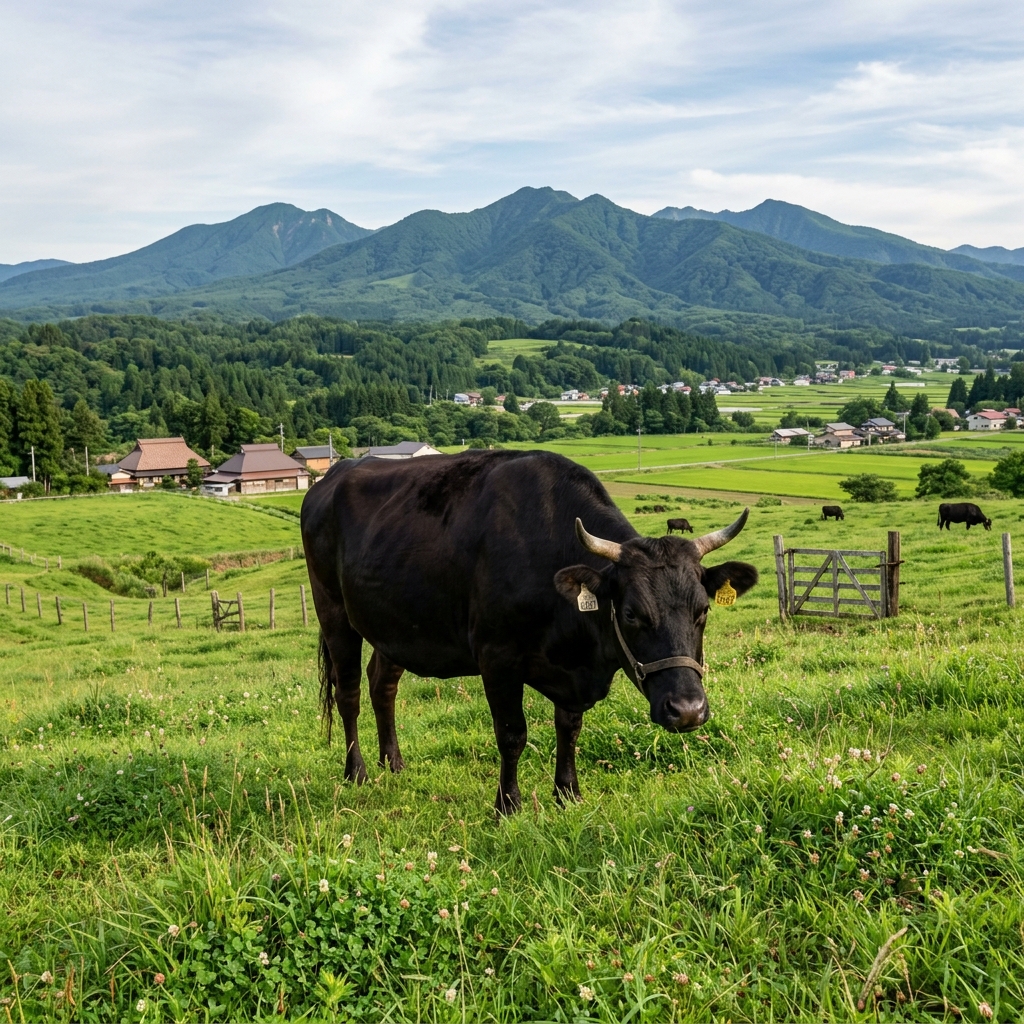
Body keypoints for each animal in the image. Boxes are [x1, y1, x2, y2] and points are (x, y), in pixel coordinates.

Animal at [301, 449, 757, 814]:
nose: (688, 711)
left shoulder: (572, 669)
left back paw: (392, 763)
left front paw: (568, 793)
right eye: (631, 614)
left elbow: (569, 729)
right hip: (333, 613)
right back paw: (357, 772)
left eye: (702, 610)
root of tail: (334, 474)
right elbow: (511, 734)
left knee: (383, 686)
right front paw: (508, 804)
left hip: (392, 625)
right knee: (348, 695)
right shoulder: (497, 658)